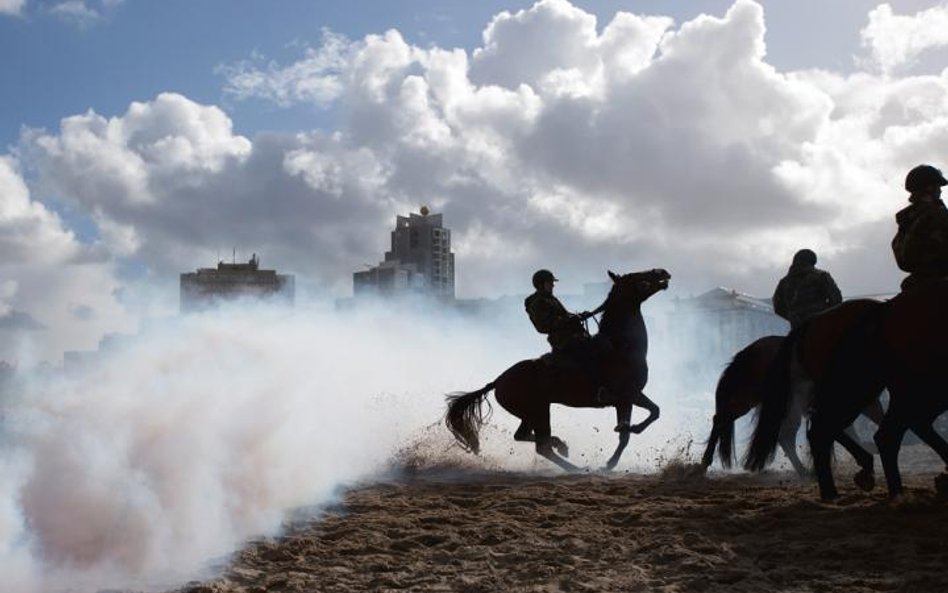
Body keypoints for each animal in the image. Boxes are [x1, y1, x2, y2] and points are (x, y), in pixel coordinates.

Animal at [442, 266, 668, 470]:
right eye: (636, 276)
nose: (662, 272)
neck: (620, 346)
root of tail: (498, 380)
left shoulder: (625, 401)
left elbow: (626, 435)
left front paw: (611, 460)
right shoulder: (630, 394)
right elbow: (654, 412)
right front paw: (630, 434)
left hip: (531, 413)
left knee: (525, 436)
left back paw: (561, 444)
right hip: (539, 410)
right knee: (542, 446)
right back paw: (574, 466)